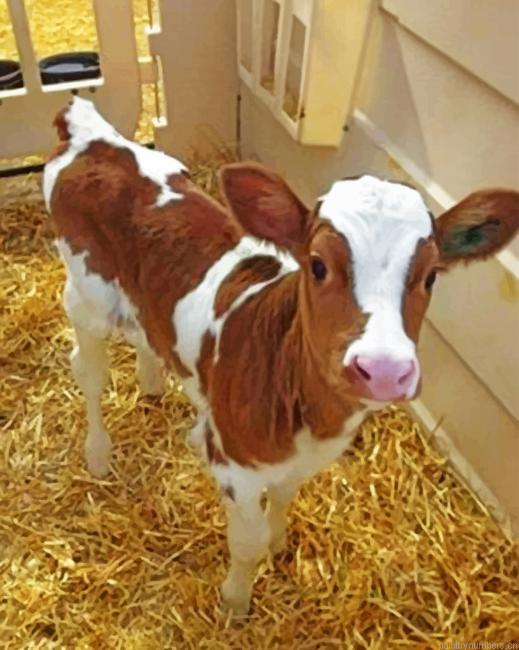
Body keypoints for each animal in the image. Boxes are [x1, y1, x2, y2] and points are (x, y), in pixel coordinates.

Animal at [43, 97, 518, 614]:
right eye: (317, 265)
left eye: (431, 275)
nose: (384, 370)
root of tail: (92, 136)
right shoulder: (236, 467)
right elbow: (245, 541)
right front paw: (235, 600)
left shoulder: (299, 463)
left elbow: (285, 499)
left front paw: (278, 544)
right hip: (86, 296)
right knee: (88, 373)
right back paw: (98, 454)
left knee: (147, 338)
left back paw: (152, 385)